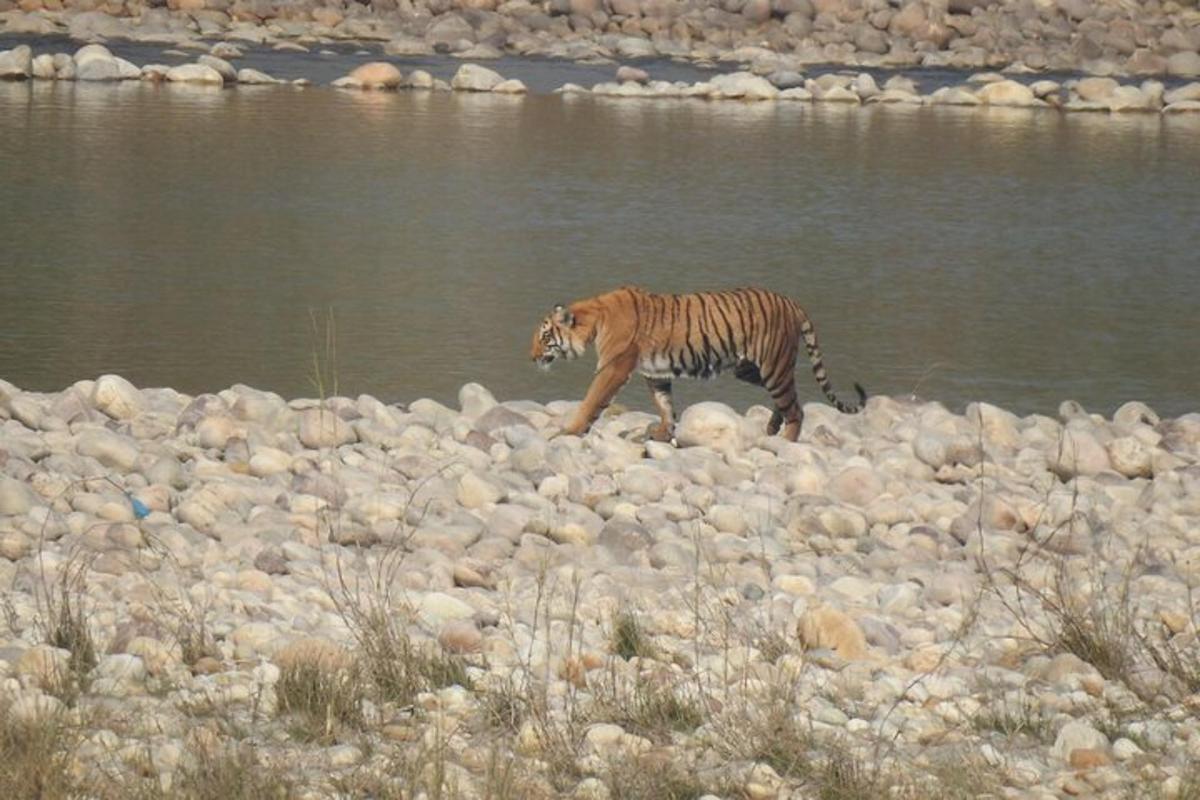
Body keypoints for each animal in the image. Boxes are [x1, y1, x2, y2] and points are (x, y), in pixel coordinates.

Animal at [532, 284, 864, 441]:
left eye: (545, 336)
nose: (531, 357)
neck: (594, 318)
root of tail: (790, 301)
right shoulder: (654, 372)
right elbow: (664, 405)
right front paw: (663, 434)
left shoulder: (613, 367)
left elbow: (591, 400)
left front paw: (570, 432)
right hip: (752, 369)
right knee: (790, 399)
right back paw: (771, 429)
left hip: (773, 365)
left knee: (796, 409)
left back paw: (784, 441)